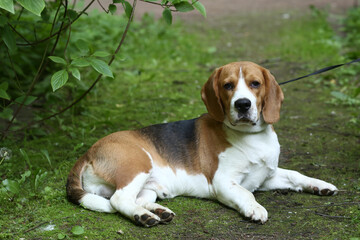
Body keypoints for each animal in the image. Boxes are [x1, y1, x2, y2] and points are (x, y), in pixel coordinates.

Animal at [67, 61, 338, 227]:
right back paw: (143, 217)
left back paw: (159, 212)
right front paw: (255, 208)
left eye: (255, 84)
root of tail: (88, 152)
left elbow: (295, 174)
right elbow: (245, 193)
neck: (251, 137)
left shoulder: (265, 177)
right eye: (228, 85)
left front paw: (320, 185)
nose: (242, 104)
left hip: (149, 185)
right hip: (137, 164)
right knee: (119, 200)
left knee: (137, 199)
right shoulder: (224, 182)